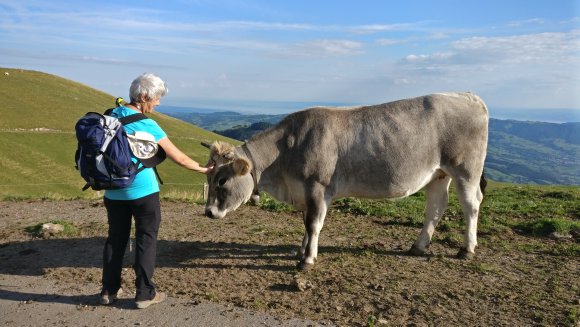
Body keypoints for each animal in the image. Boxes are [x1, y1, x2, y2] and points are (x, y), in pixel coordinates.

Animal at [204, 93, 490, 272]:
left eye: (222, 180)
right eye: (208, 176)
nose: (208, 212)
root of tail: (468, 96)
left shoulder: (317, 187)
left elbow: (313, 224)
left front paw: (307, 260)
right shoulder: (305, 191)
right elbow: (306, 224)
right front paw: (301, 251)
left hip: (466, 169)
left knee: (471, 204)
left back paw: (467, 249)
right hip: (438, 173)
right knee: (436, 207)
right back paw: (419, 246)